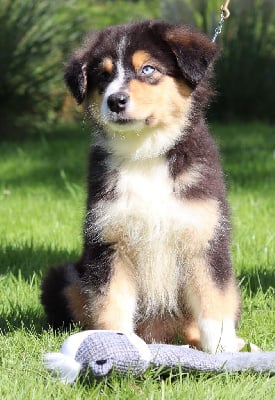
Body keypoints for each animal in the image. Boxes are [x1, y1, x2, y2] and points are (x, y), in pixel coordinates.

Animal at [41, 19, 242, 354]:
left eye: (148, 69)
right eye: (103, 75)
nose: (115, 101)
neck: (145, 151)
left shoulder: (203, 238)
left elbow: (213, 302)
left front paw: (223, 353)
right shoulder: (109, 241)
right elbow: (111, 303)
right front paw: (118, 348)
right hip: (65, 277)